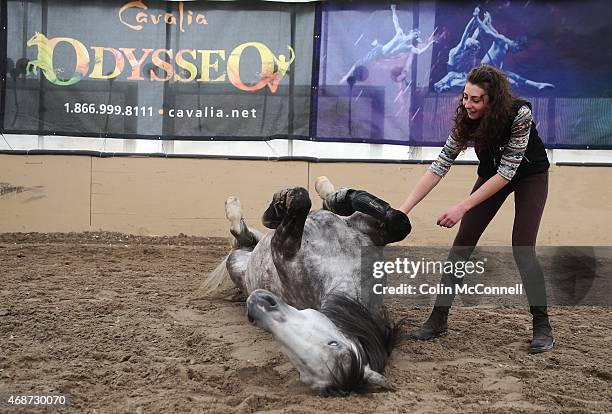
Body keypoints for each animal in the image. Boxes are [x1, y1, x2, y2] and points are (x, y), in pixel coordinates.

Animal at [206, 176, 412, 396]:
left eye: (332, 344)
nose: (258, 304)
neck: (340, 264)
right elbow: (399, 221)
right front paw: (333, 198)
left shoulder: (285, 247)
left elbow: (301, 201)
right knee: (249, 234)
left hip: (237, 259)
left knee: (242, 235)